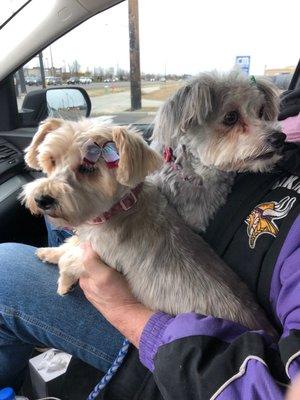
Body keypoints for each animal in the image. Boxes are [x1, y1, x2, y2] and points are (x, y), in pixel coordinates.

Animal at [21, 117, 274, 332]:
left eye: (87, 168)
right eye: (51, 161)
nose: (42, 199)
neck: (119, 209)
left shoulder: (103, 257)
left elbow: (70, 259)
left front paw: (64, 282)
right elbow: (69, 246)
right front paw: (48, 253)